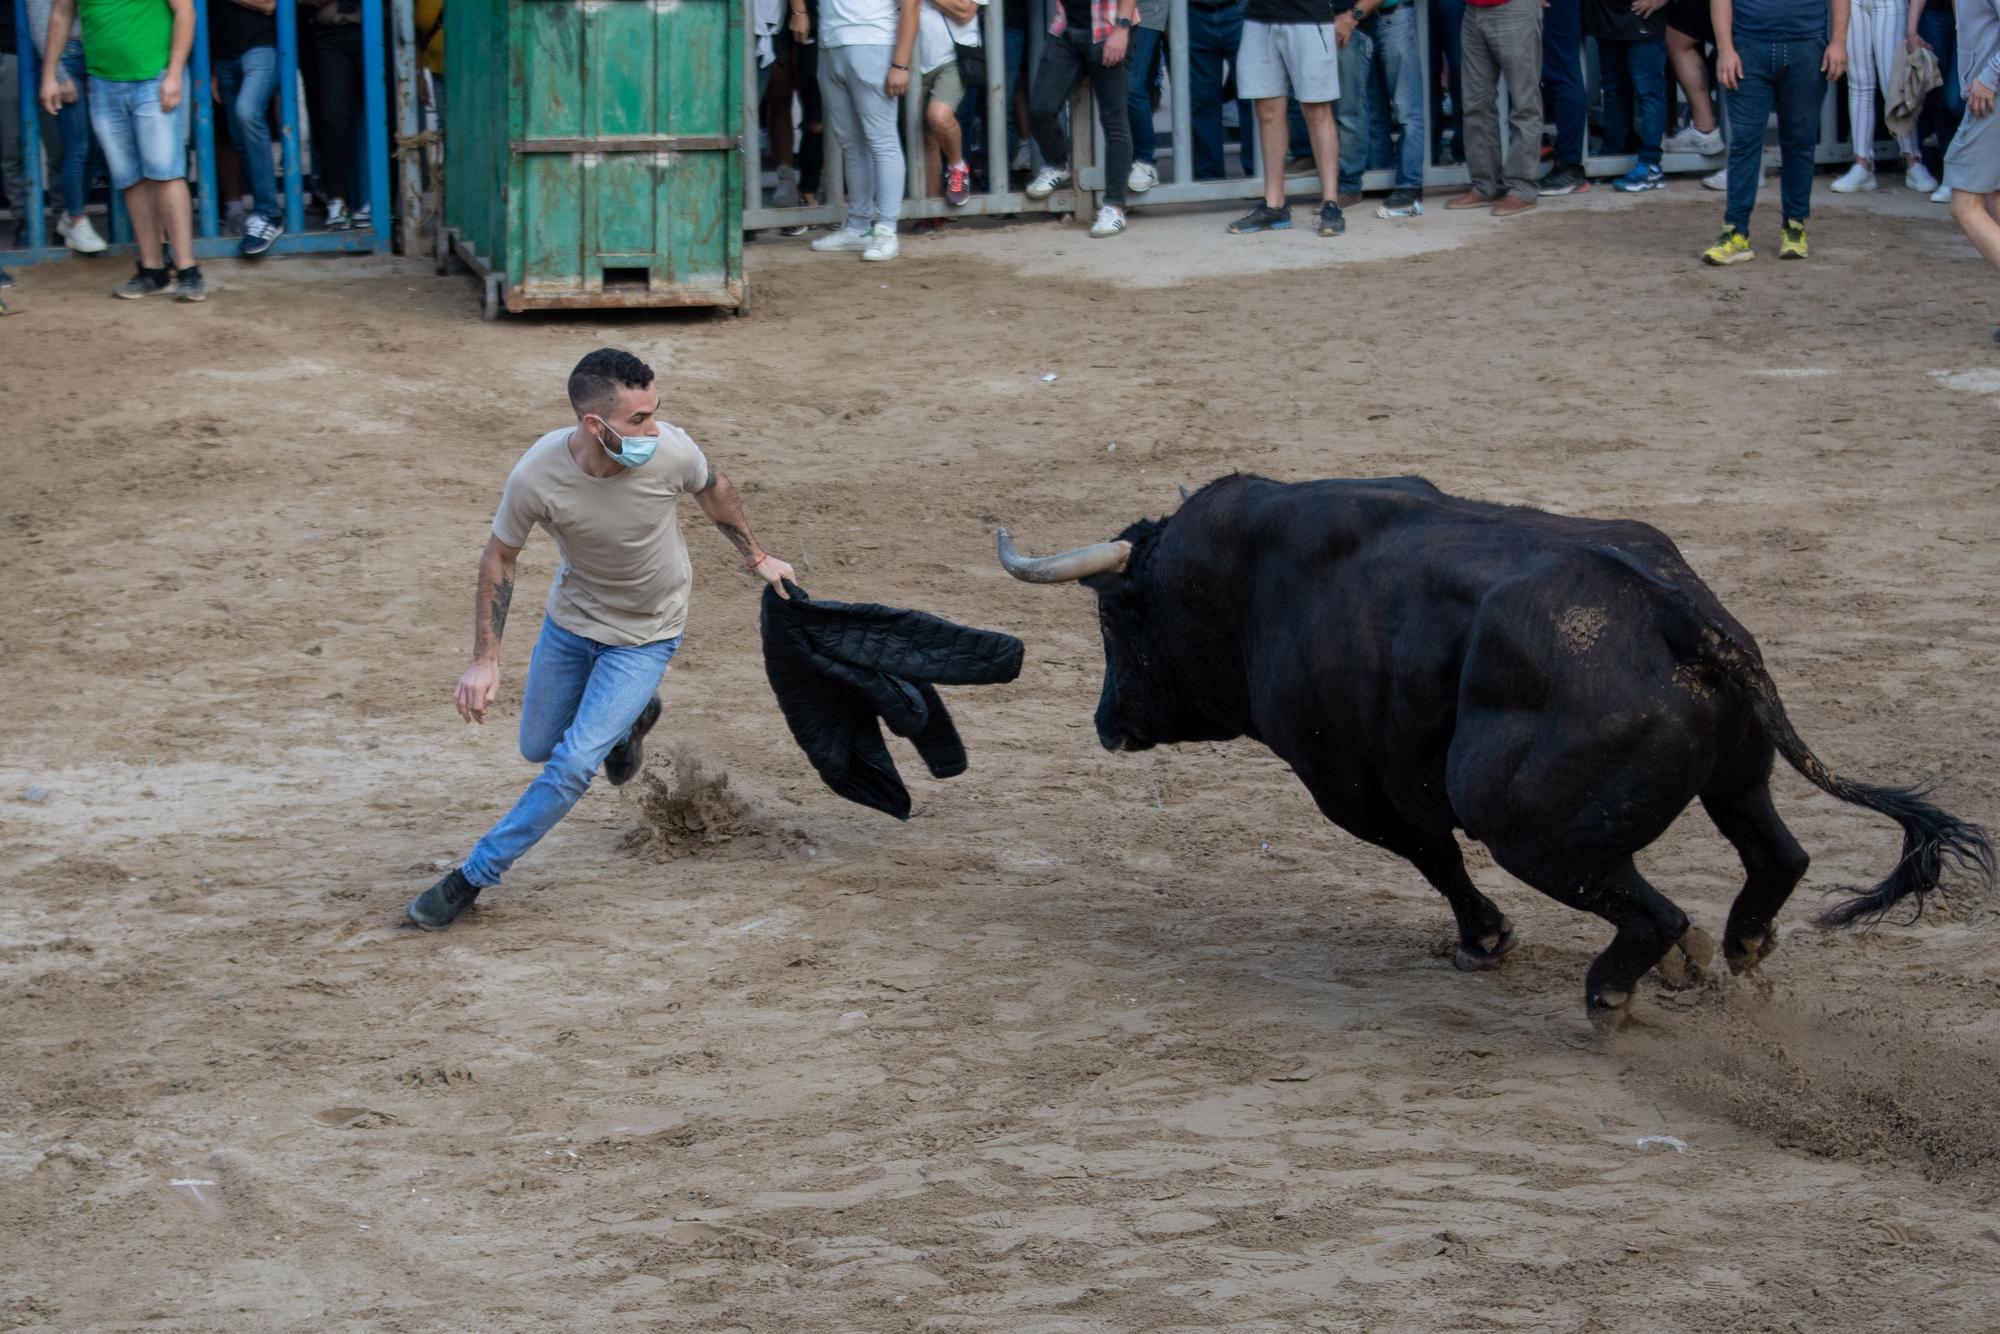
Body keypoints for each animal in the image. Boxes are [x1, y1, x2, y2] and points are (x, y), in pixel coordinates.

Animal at [992, 472, 1992, 1024]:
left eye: (1117, 616)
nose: (1105, 721)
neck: (1242, 576)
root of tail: (1681, 614)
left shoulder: (1344, 782)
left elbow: (1432, 857)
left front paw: (1484, 940)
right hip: (1736, 777)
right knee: (1777, 856)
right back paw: (1733, 950)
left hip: (1528, 827)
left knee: (1648, 909)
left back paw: (1616, 992)